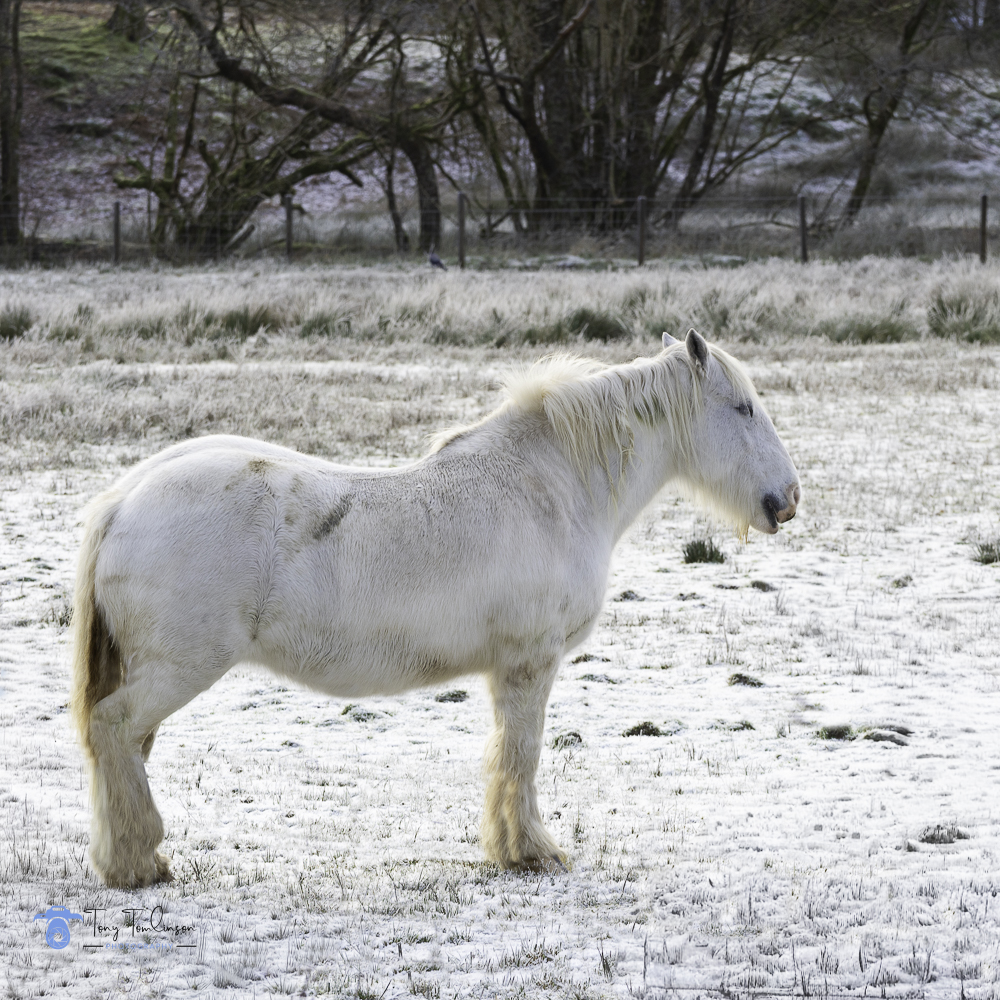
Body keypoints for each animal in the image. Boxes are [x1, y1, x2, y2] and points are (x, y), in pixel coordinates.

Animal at [71, 329, 800, 889]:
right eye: (742, 408)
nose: (788, 499)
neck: (554, 487)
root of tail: (123, 500)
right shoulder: (531, 664)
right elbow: (522, 756)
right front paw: (532, 853)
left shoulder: (508, 671)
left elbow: (505, 755)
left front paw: (509, 848)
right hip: (179, 670)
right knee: (114, 730)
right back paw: (138, 864)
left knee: (123, 748)